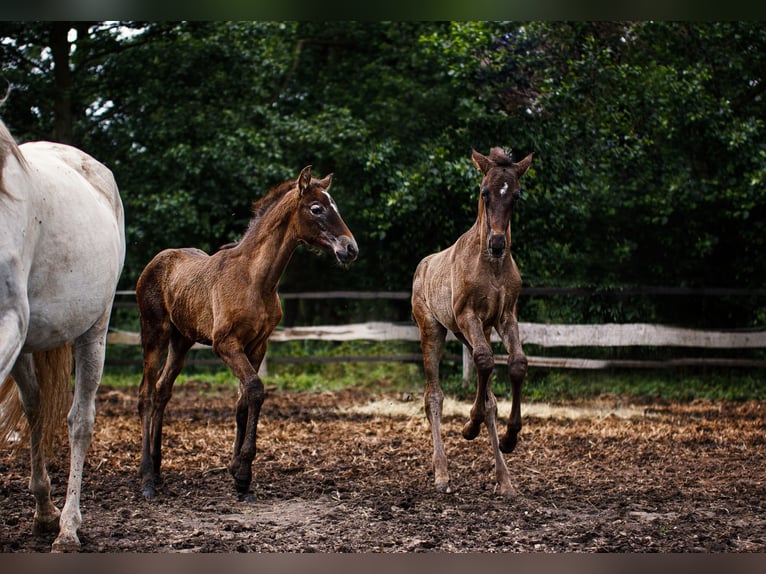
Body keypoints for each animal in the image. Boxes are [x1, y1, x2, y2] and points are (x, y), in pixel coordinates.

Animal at [0, 118, 126, 552]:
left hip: (94, 330)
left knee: (79, 422)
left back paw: (68, 526)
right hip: (27, 347)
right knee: (36, 410)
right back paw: (43, 511)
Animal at [138, 166, 360, 500]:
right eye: (316, 208)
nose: (350, 249)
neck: (255, 280)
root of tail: (156, 261)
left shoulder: (257, 346)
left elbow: (244, 399)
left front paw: (237, 474)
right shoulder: (225, 344)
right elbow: (255, 389)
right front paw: (243, 473)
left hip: (181, 340)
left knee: (163, 390)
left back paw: (158, 466)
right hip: (154, 334)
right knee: (147, 394)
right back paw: (147, 478)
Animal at [414, 148, 536, 500]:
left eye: (516, 195)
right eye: (484, 192)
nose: (497, 243)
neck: (492, 267)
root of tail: (424, 264)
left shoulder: (505, 317)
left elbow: (516, 364)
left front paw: (509, 438)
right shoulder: (469, 315)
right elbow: (484, 362)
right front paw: (470, 425)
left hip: (466, 332)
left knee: (487, 390)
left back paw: (504, 478)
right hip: (433, 329)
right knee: (433, 395)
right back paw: (441, 474)